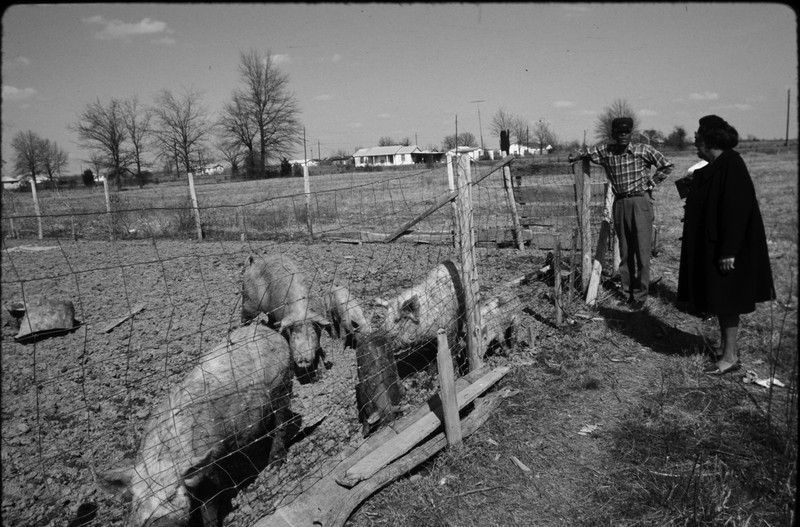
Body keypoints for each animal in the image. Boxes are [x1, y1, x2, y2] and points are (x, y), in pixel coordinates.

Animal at [99, 324, 296, 527]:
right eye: (138, 503)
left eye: (172, 496)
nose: (159, 523)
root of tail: (268, 330)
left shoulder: (213, 461)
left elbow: (210, 505)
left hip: (281, 383)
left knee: (282, 420)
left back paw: (274, 464)